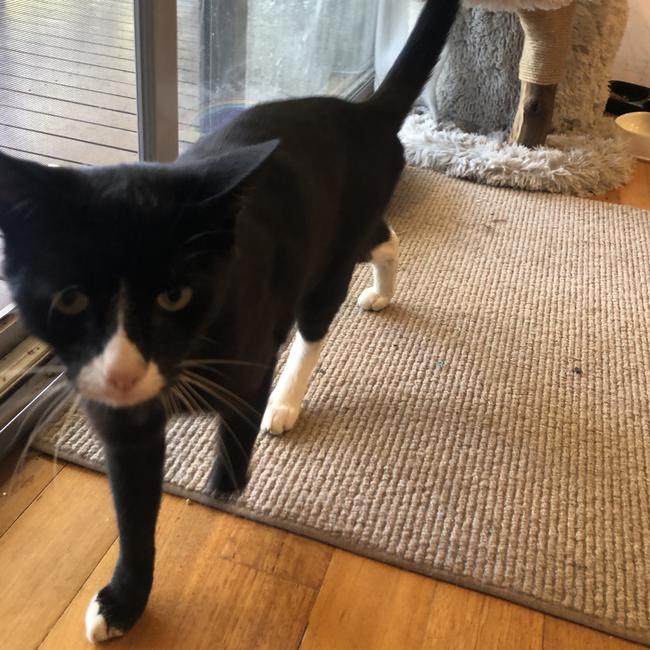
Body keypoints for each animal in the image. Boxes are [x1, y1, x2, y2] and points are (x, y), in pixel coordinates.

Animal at [0, 0, 456, 636]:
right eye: (70, 300)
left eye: (174, 296)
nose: (121, 372)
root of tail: (362, 113)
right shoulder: (115, 412)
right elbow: (132, 514)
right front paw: (124, 601)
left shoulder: (248, 345)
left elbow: (240, 412)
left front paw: (226, 482)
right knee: (385, 237)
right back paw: (381, 292)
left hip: (329, 254)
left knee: (320, 313)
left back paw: (287, 400)